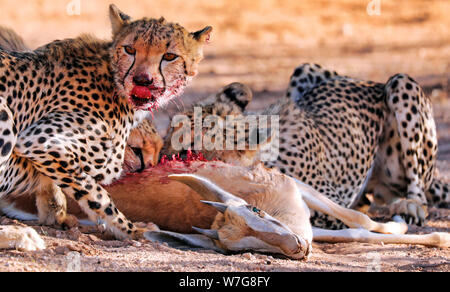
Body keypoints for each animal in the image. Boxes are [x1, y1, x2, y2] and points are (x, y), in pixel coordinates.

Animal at [0, 4, 213, 246]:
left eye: (170, 56)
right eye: (129, 49)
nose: (142, 80)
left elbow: (53, 185)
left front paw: (56, 214)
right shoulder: (37, 141)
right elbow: (98, 196)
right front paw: (133, 231)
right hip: (5, 116)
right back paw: (20, 235)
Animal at [160, 64, 448, 228]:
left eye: (186, 148)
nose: (158, 157)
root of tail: (369, 82)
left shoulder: (332, 202)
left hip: (401, 83)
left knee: (417, 191)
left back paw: (410, 206)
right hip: (305, 69)